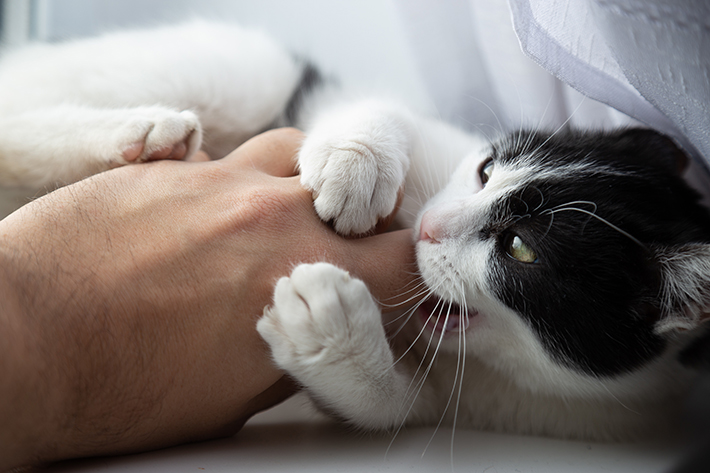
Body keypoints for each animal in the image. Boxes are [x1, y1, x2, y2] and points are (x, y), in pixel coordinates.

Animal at [1, 20, 710, 440]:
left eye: (521, 248)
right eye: (484, 170)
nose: (428, 228)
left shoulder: (469, 402)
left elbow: (384, 408)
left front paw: (328, 327)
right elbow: (380, 108)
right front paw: (356, 163)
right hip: (228, 72)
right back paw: (144, 134)